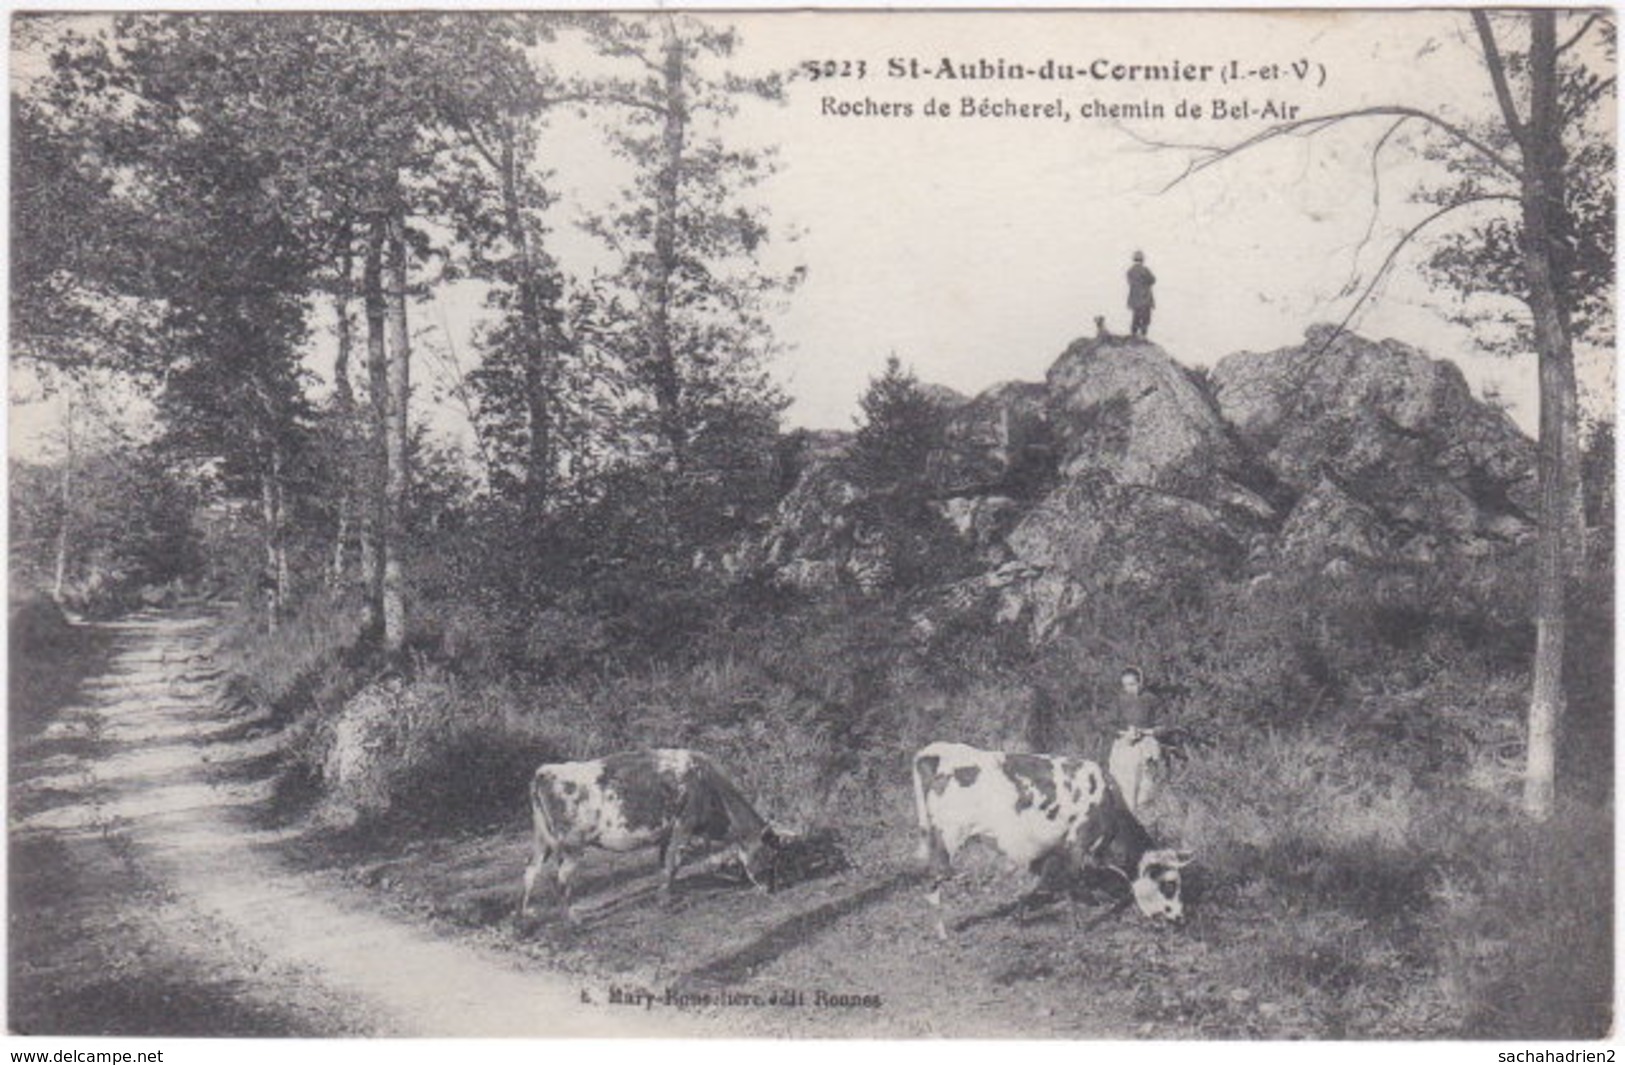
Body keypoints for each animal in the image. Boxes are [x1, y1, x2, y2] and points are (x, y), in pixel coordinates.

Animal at [516, 754, 776, 923]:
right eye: (769, 854)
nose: (771, 889)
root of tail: (544, 771)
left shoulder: (666, 834)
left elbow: (664, 865)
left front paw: (664, 895)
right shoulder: (683, 825)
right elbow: (674, 863)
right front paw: (666, 902)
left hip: (541, 838)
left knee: (530, 869)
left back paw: (524, 915)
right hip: (572, 845)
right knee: (560, 878)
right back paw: (572, 919)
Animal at [916, 741, 1196, 943]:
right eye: (1170, 884)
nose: (1181, 918)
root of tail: (938, 754)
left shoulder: (1052, 848)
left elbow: (1039, 883)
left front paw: (1019, 915)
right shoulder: (1077, 843)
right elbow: (1071, 881)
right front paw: (1078, 924)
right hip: (948, 838)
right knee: (932, 880)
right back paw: (942, 933)